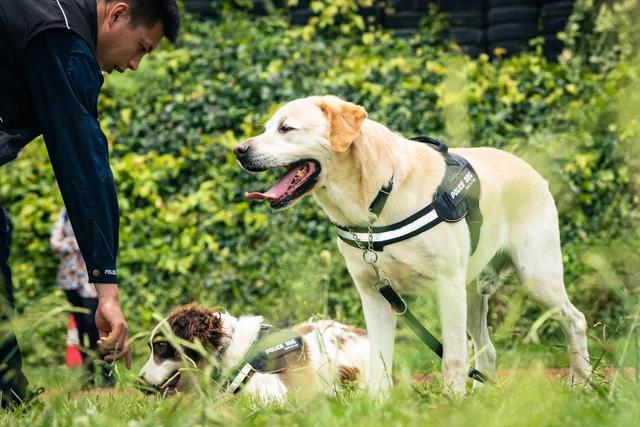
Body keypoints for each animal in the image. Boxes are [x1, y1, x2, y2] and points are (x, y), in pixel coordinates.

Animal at [232, 95, 592, 396]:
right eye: (266, 127)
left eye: (286, 127)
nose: (239, 150)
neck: (376, 198)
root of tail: (532, 170)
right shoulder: (375, 295)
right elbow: (379, 360)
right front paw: (377, 405)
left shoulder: (447, 287)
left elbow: (453, 357)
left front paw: (452, 402)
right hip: (473, 293)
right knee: (487, 348)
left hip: (536, 277)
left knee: (575, 320)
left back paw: (582, 381)